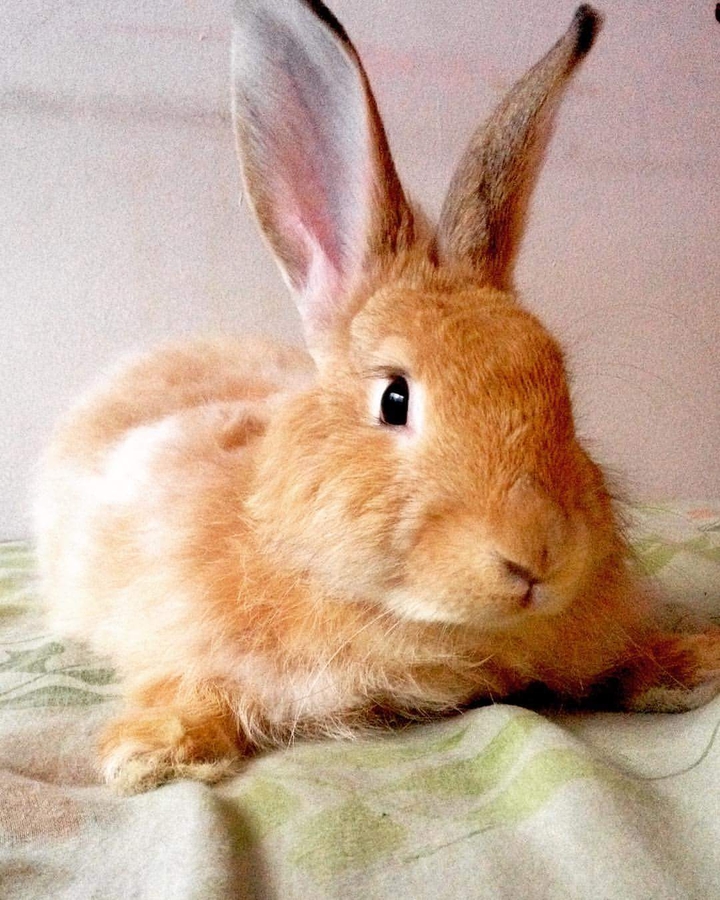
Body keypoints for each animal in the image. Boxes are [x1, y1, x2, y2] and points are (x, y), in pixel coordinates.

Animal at [35, 0, 720, 795]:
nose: (538, 555)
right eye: (395, 399)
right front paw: (151, 754)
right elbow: (195, 682)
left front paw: (695, 661)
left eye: (561, 386)